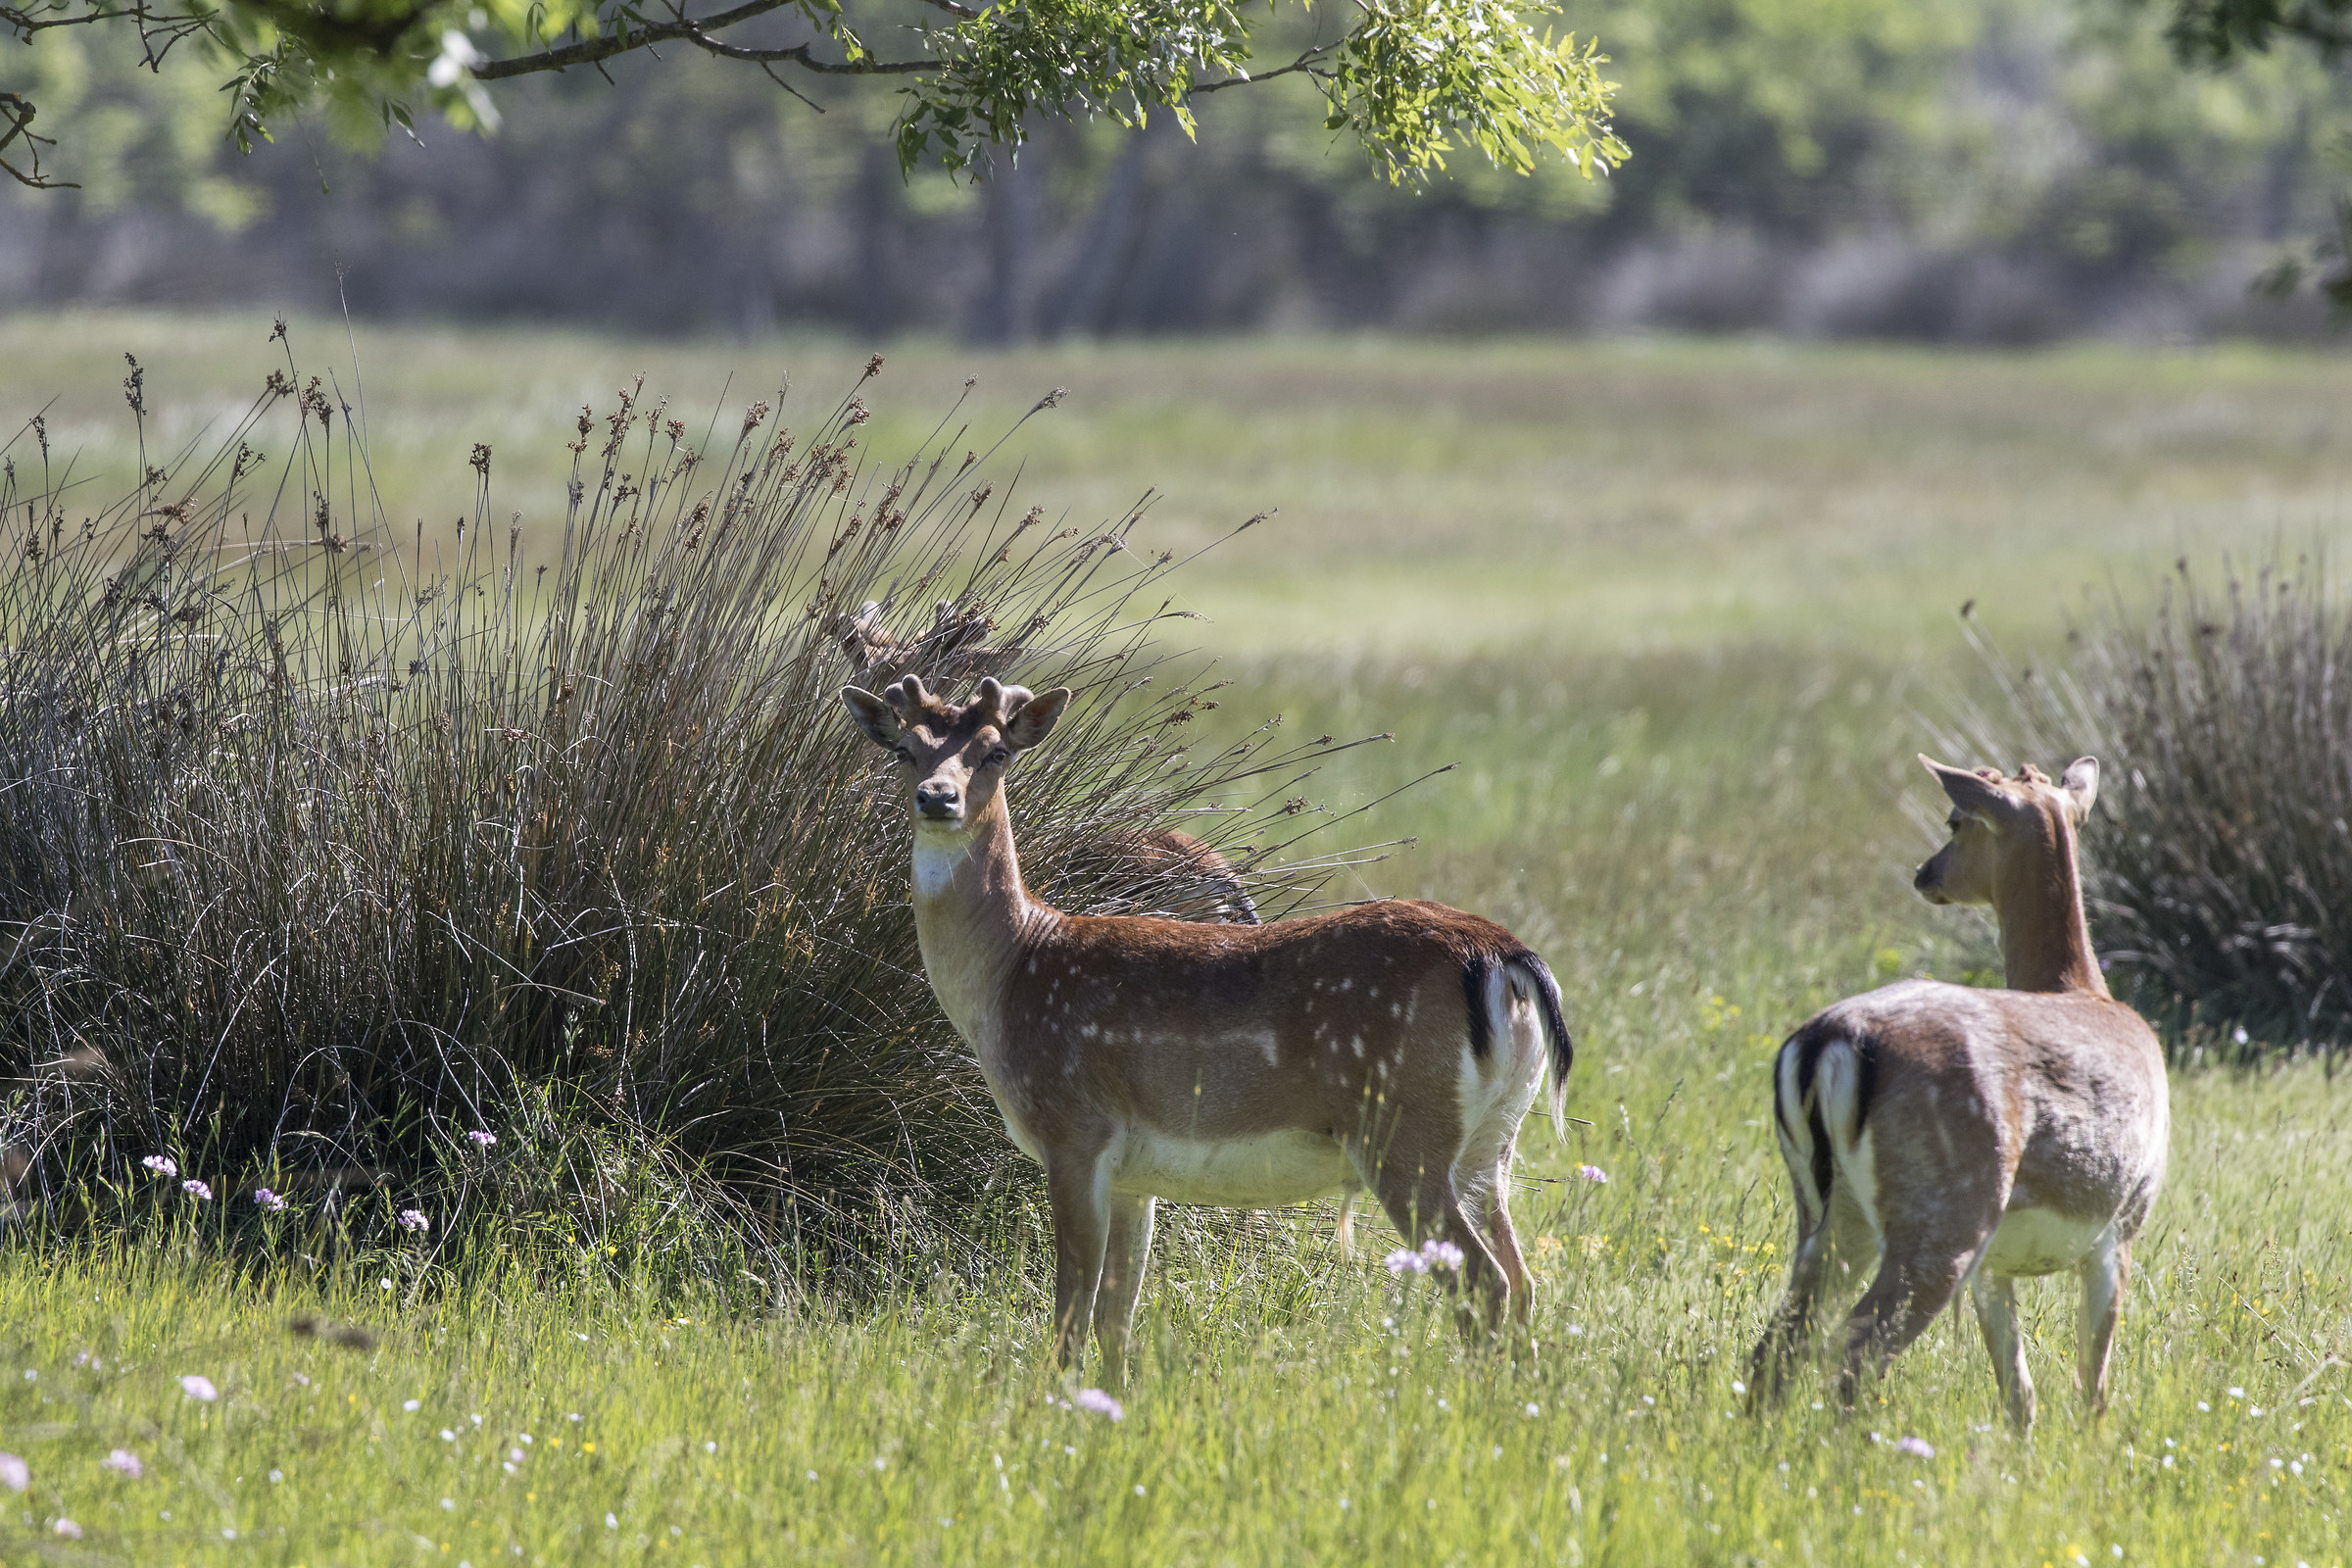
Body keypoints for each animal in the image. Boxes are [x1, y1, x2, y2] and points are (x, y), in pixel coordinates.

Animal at [841, 674, 1574, 1383]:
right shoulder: (1135, 1174)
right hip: (1491, 1144)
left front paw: (1048, 1403)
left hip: (1403, 1132)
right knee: (1522, 1282)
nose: (937, 798)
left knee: (1484, 1285)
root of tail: (1502, 956)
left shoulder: (1075, 1129)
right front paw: (1112, 1401)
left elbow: (1070, 1312)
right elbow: (1116, 1316)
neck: (1015, 970)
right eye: (903, 750)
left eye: (996, 751)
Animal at [1747, 756, 2169, 1433]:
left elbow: (2020, 1393)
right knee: (1854, 1347)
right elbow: (2093, 1387)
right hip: (1947, 1213)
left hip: (1829, 1216)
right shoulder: (2124, 1221)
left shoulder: (1996, 1265)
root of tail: (1827, 1041)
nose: (1925, 873)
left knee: (1780, 1342)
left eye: (1954, 821)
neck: (2082, 988)